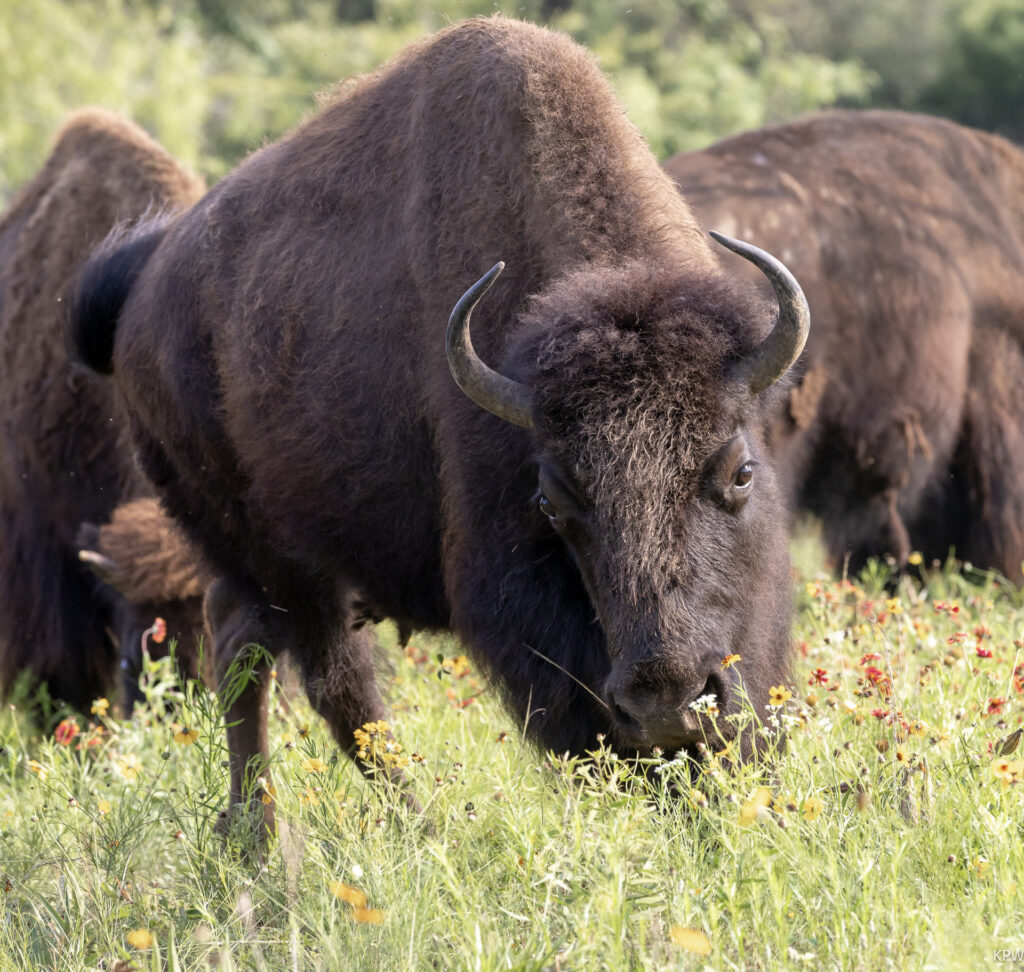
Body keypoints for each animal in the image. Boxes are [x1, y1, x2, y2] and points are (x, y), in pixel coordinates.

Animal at [71, 17, 809, 827]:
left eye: (740, 472)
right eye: (550, 500)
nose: (666, 699)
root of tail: (139, 295)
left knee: (252, 648)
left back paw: (266, 833)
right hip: (274, 556)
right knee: (324, 677)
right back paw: (366, 827)